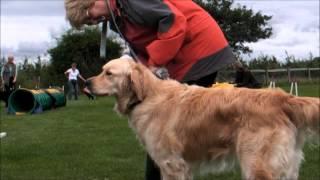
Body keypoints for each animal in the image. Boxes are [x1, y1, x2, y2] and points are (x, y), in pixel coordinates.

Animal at [86, 56, 318, 180]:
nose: (85, 83)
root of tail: (282, 97)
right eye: (102, 70)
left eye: (108, 73)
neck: (147, 96)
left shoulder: (171, 164)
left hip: (258, 166)